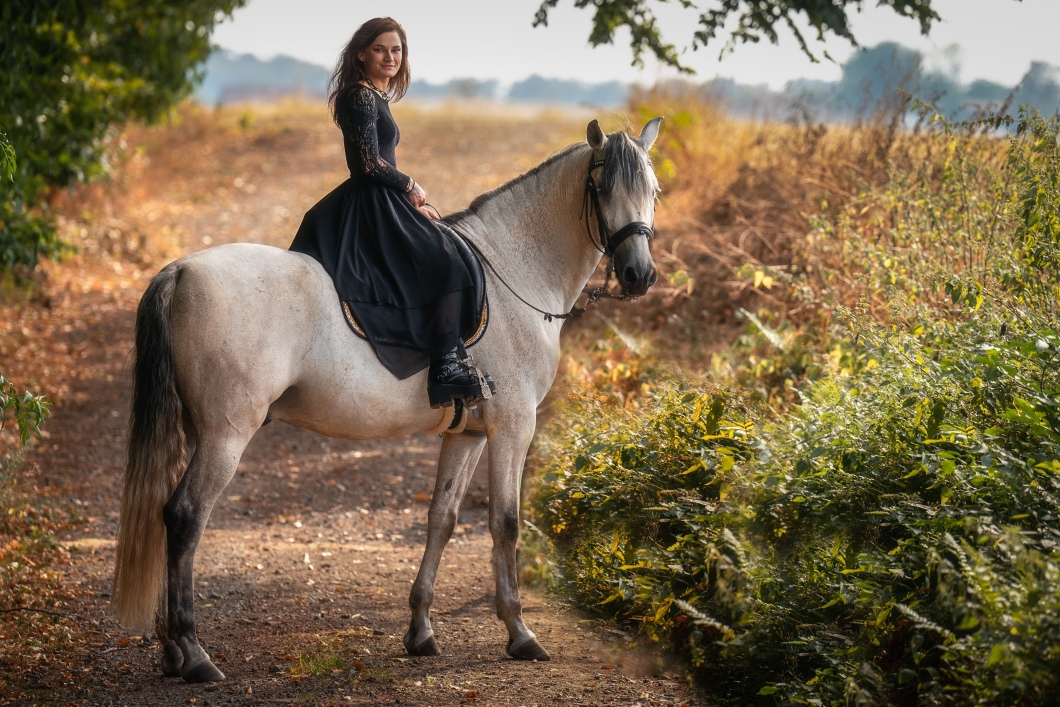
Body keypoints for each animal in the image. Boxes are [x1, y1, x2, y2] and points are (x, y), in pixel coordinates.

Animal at [112, 117, 662, 683]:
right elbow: (505, 524)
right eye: (602, 188)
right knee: (185, 517)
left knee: (165, 515)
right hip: (226, 434)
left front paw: (421, 631)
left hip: (196, 430)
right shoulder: (512, 426)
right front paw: (520, 634)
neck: (516, 271)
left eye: (654, 191)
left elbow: (442, 519)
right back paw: (195, 654)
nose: (639, 276)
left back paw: (172, 651)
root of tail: (180, 271)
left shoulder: (467, 435)